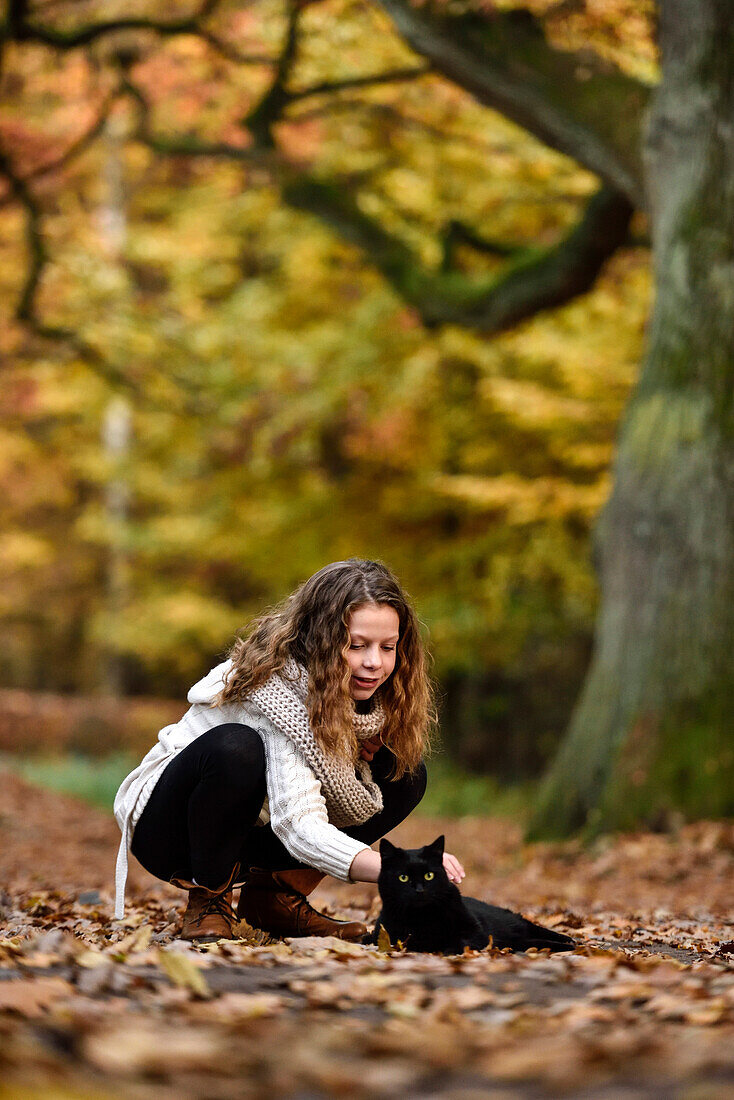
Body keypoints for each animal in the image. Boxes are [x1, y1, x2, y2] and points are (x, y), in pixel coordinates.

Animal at [365, 831, 576, 954]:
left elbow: (462, 940)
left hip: (513, 921)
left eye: (429, 875)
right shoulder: (390, 936)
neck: (423, 918)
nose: (419, 890)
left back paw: (568, 940)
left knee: (533, 929)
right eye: (403, 878)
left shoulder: (476, 932)